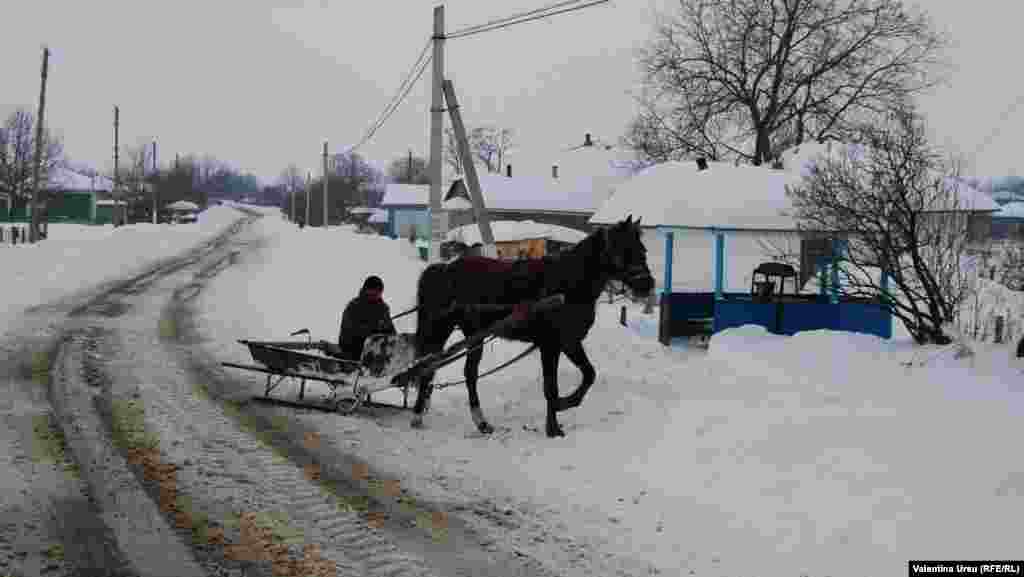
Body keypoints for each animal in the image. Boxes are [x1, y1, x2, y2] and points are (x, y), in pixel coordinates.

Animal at [411, 215, 655, 438]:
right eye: (624, 249)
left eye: (642, 249)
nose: (648, 284)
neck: (567, 285)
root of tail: (445, 269)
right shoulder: (551, 345)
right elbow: (552, 387)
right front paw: (554, 424)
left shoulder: (569, 342)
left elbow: (589, 374)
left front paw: (565, 405)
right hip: (441, 330)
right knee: (428, 367)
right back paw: (417, 416)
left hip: (474, 336)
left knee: (467, 373)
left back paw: (481, 422)